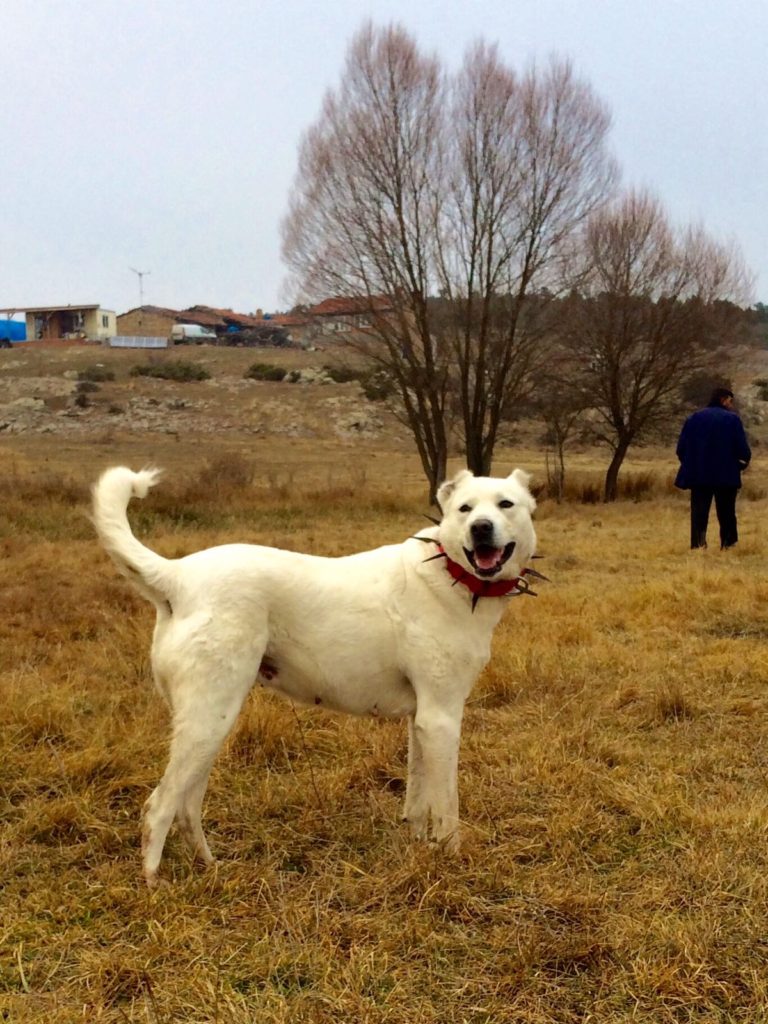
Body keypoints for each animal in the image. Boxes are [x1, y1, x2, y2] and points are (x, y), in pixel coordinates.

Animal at [93, 464, 536, 880]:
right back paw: (155, 885)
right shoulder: (442, 719)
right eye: (465, 509)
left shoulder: (421, 721)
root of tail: (178, 576)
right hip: (207, 720)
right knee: (159, 806)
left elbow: (417, 798)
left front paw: (418, 847)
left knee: (186, 804)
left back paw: (210, 867)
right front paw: (452, 862)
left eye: (505, 505)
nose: (481, 528)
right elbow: (446, 806)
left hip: (210, 724)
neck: (451, 571)